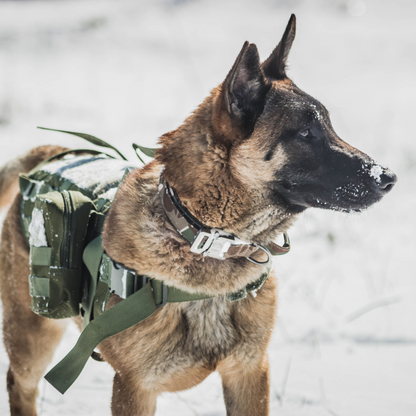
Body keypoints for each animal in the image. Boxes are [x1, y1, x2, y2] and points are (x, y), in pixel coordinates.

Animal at [0, 14, 396, 416]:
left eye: (329, 127)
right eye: (305, 133)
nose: (389, 178)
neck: (206, 240)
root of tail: (55, 154)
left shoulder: (249, 373)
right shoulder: (134, 387)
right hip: (33, 337)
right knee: (20, 383)